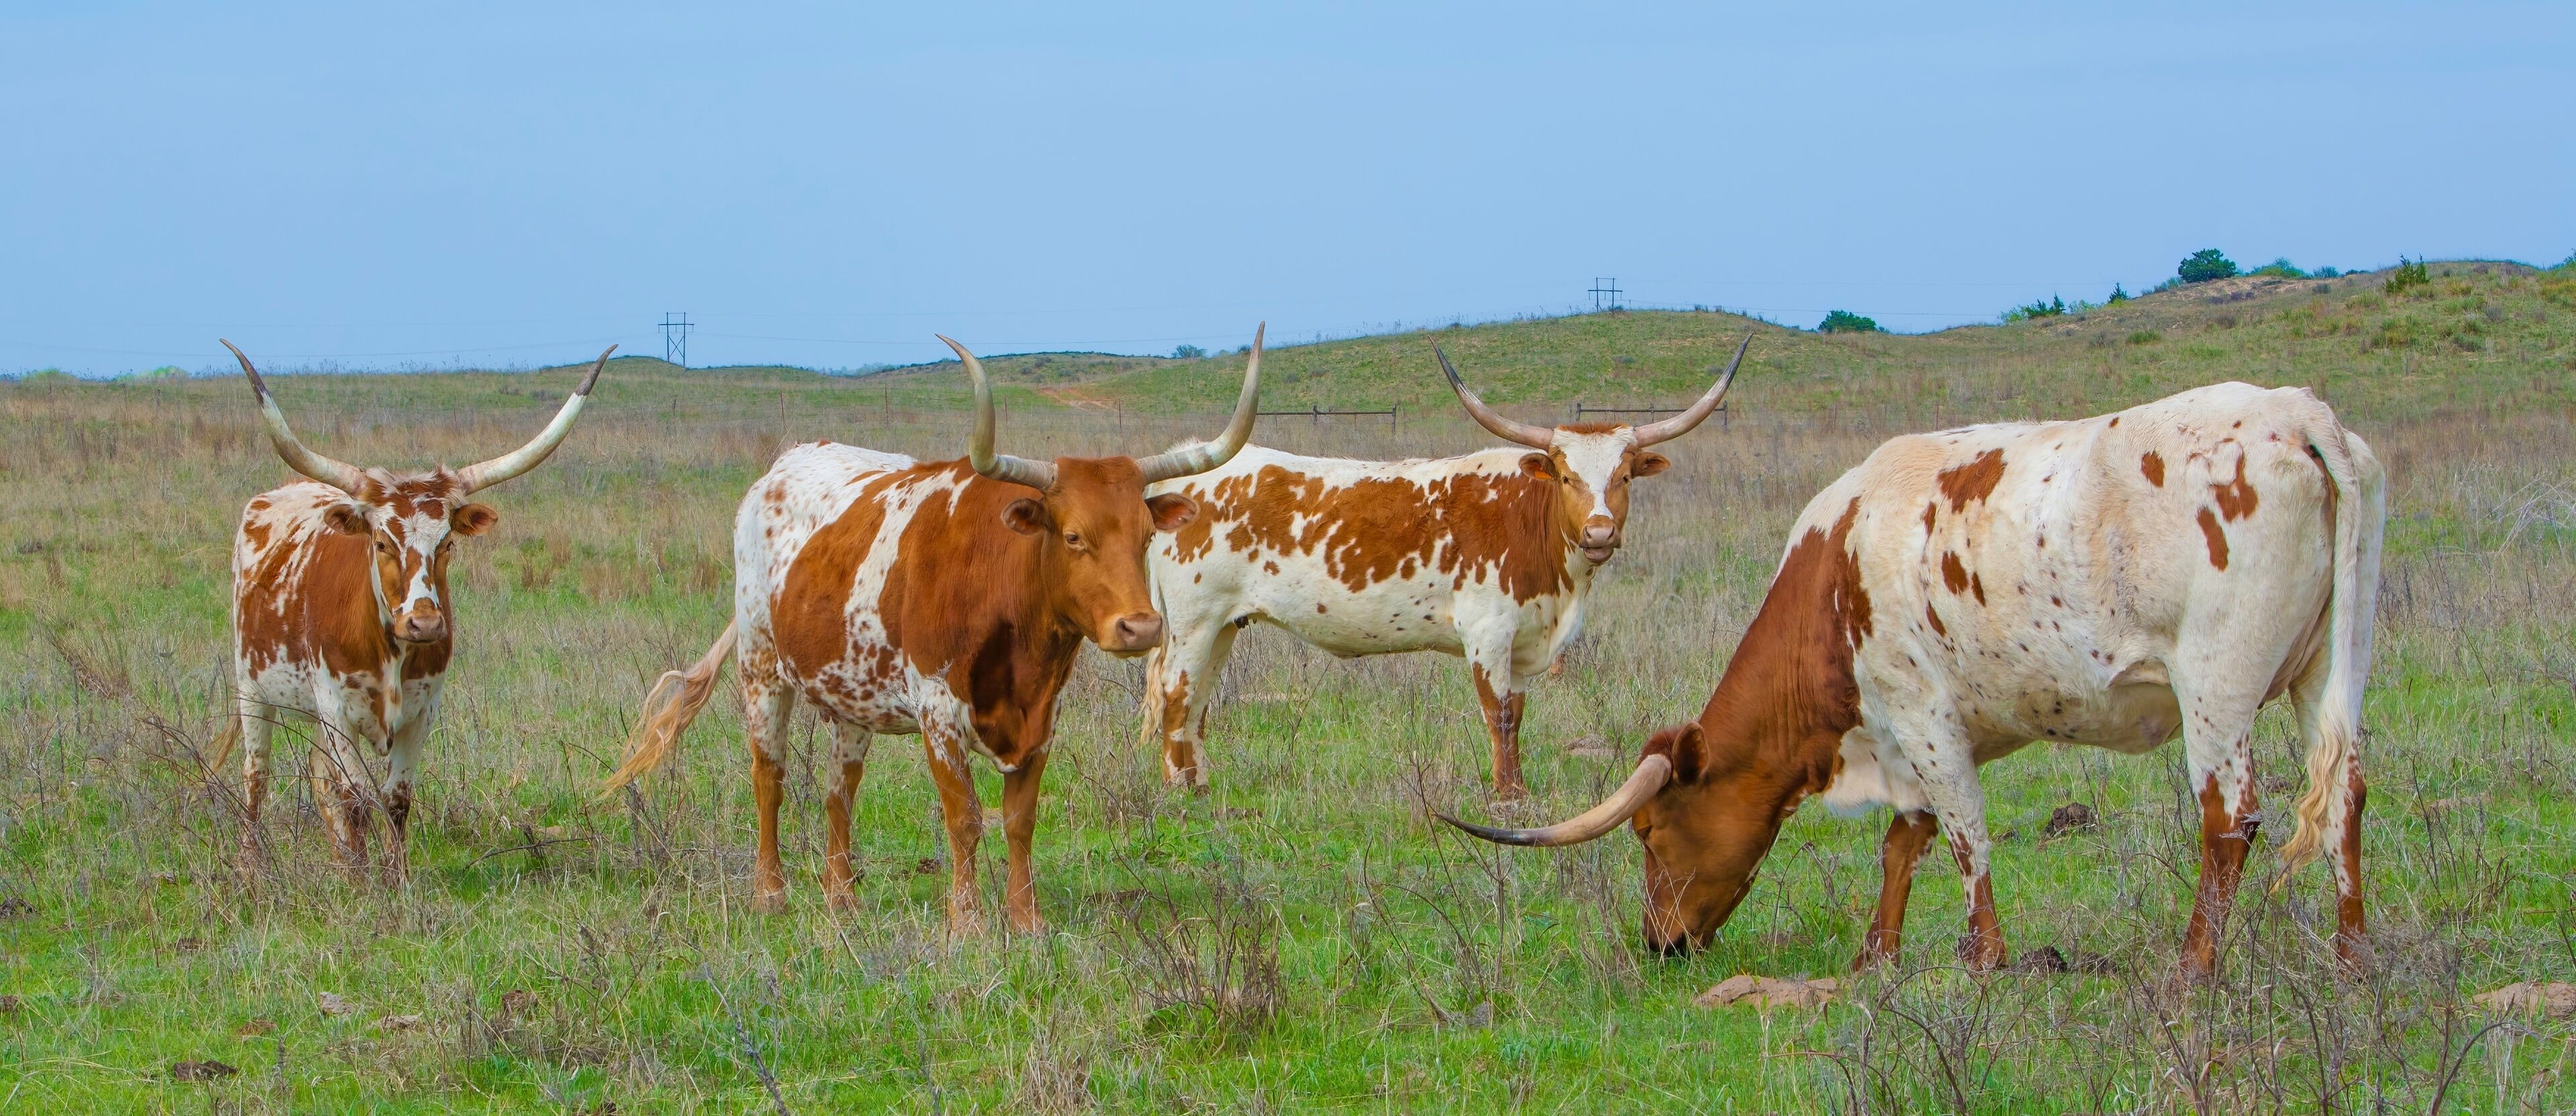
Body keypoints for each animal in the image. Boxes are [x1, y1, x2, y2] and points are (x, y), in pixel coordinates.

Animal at [211, 341, 615, 882]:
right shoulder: (336, 706)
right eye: (381, 541)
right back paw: (251, 865)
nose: (423, 622)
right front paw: (365, 885)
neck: (391, 652)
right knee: (256, 775)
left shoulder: (421, 712)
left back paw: (340, 861)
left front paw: (393, 879)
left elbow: (395, 800)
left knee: (319, 779)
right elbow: (356, 798)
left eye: (447, 543)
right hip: (251, 686)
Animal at [598, 329, 1266, 935]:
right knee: (770, 778)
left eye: (1147, 535)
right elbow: (965, 817)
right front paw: (966, 922)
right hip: (761, 668)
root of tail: (780, 468)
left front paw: (1026, 921)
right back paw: (771, 894)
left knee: (839, 792)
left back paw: (842, 899)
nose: (1141, 625)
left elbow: (1019, 819)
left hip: (850, 697)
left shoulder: (1043, 715)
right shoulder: (937, 711)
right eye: (1073, 535)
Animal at [1138, 337, 1749, 799]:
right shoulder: (1487, 632)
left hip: (1223, 626)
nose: (1599, 533)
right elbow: (1497, 714)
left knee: (1197, 702)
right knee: (1175, 694)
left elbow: (1517, 714)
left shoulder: (1523, 643)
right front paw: (1506, 798)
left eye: (1624, 476)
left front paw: (1519, 789)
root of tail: (1181, 475)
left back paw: (1200, 784)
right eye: (1565, 475)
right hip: (1193, 621)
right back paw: (1177, 791)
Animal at [1441, 382, 2383, 977]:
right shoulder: (1912, 736)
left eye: (1651, 832)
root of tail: (2301, 416)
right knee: (2345, 794)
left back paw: (2194, 967)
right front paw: (1877, 953)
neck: (1835, 573)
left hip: (2217, 689)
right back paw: (2351, 957)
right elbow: (1907, 838)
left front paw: (1984, 958)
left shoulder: (1923, 715)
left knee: (2231, 819)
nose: (1660, 943)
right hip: (2327, 670)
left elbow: (1964, 835)